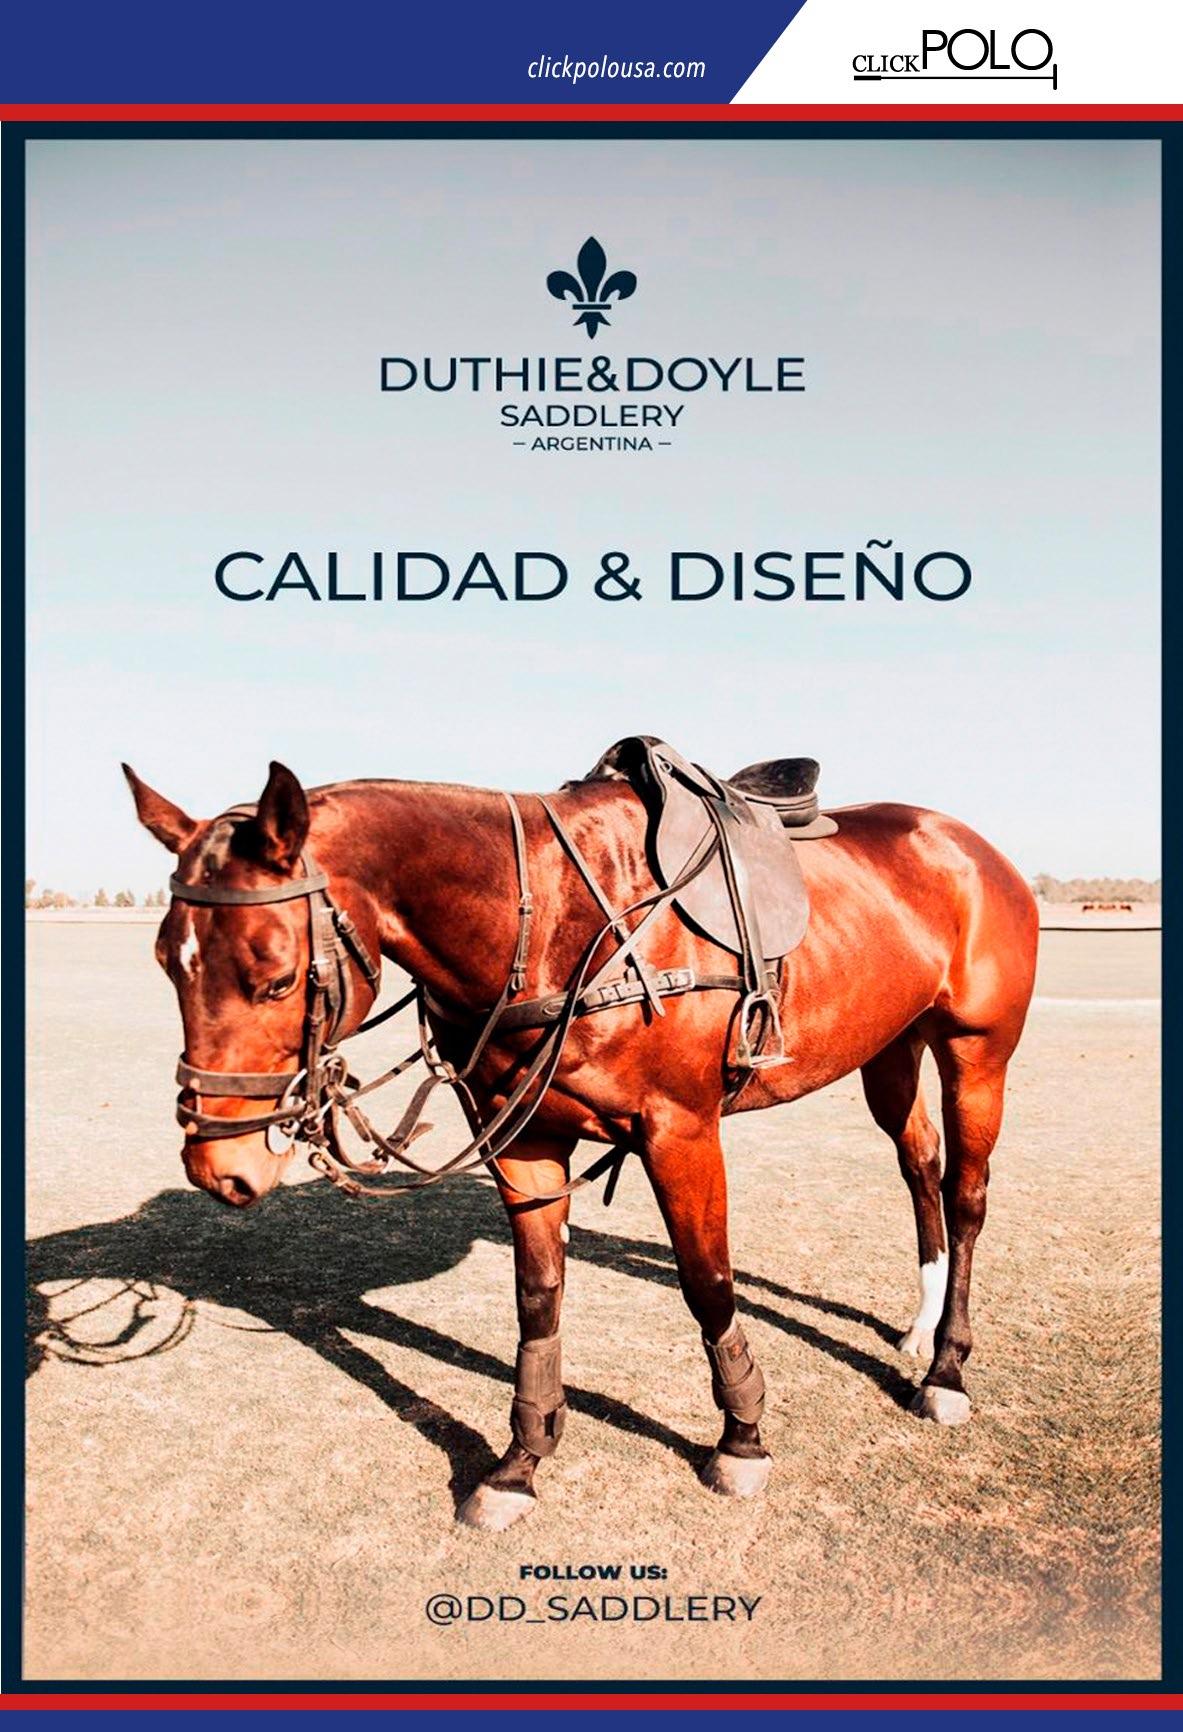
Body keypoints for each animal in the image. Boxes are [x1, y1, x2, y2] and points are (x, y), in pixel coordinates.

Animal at [123, 752, 1038, 1530]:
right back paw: (917, 1328)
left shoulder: (680, 1130)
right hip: (890, 1044)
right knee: (917, 1164)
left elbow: (707, 1283)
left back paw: (944, 1370)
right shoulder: (522, 1139)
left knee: (965, 1193)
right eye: (167, 961)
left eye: (276, 976)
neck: (552, 923)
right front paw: (519, 1462)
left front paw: (741, 1438)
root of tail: (971, 846)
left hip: (976, 1051)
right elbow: (538, 1299)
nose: (217, 1165)